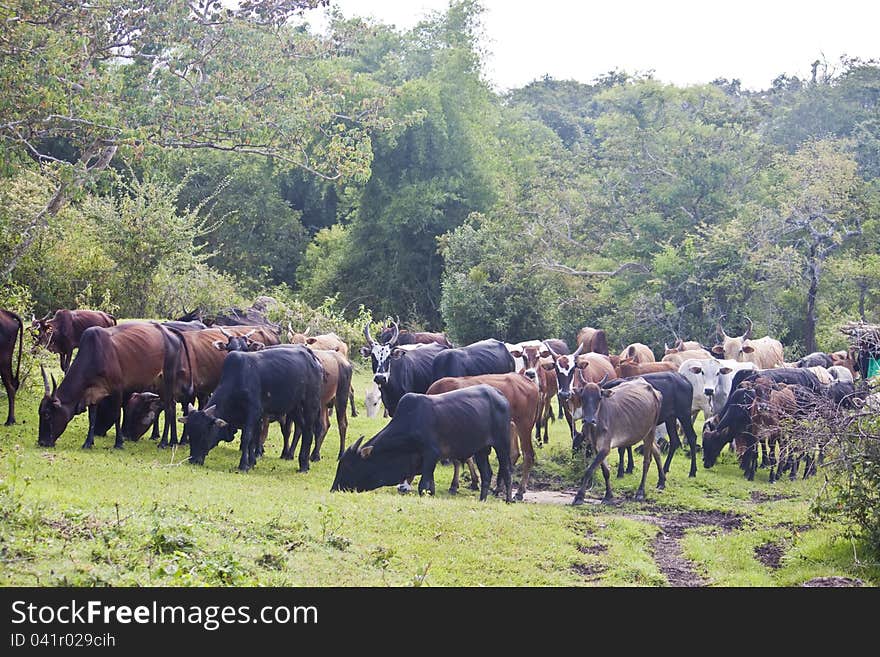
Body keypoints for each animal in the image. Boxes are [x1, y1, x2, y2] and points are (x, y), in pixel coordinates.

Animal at [37, 322, 175, 448]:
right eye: (40, 412)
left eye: (47, 414)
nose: (42, 442)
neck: (95, 355)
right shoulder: (93, 392)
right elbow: (92, 417)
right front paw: (88, 443)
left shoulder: (118, 390)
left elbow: (117, 415)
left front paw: (119, 443)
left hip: (167, 382)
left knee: (168, 409)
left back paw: (163, 442)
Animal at [181, 344, 324, 472]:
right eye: (190, 433)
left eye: (204, 434)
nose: (193, 460)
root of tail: (312, 357)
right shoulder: (257, 417)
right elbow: (254, 439)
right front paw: (251, 463)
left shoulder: (253, 412)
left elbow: (247, 438)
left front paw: (243, 465)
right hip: (294, 408)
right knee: (304, 429)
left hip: (311, 404)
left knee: (309, 431)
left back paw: (304, 466)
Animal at [330, 382, 512, 500]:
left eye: (349, 465)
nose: (334, 488)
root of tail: (501, 396)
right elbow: (430, 487)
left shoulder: (431, 454)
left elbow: (423, 485)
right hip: (481, 450)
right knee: (487, 474)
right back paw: (482, 499)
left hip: (502, 445)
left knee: (507, 470)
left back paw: (508, 499)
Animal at [428, 372, 544, 500]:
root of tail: (528, 381)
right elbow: (464, 459)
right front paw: (471, 482)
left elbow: (459, 460)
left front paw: (455, 485)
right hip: (510, 427)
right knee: (513, 453)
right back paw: (499, 487)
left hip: (523, 426)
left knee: (528, 455)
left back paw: (519, 491)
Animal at [568, 374, 664, 502]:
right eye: (582, 397)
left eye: (599, 398)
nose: (588, 420)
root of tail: (655, 391)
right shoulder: (595, 447)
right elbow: (605, 471)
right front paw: (608, 496)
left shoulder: (605, 448)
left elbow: (589, 469)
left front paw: (579, 496)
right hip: (644, 433)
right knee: (657, 449)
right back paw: (662, 482)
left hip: (651, 431)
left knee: (647, 461)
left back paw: (640, 492)